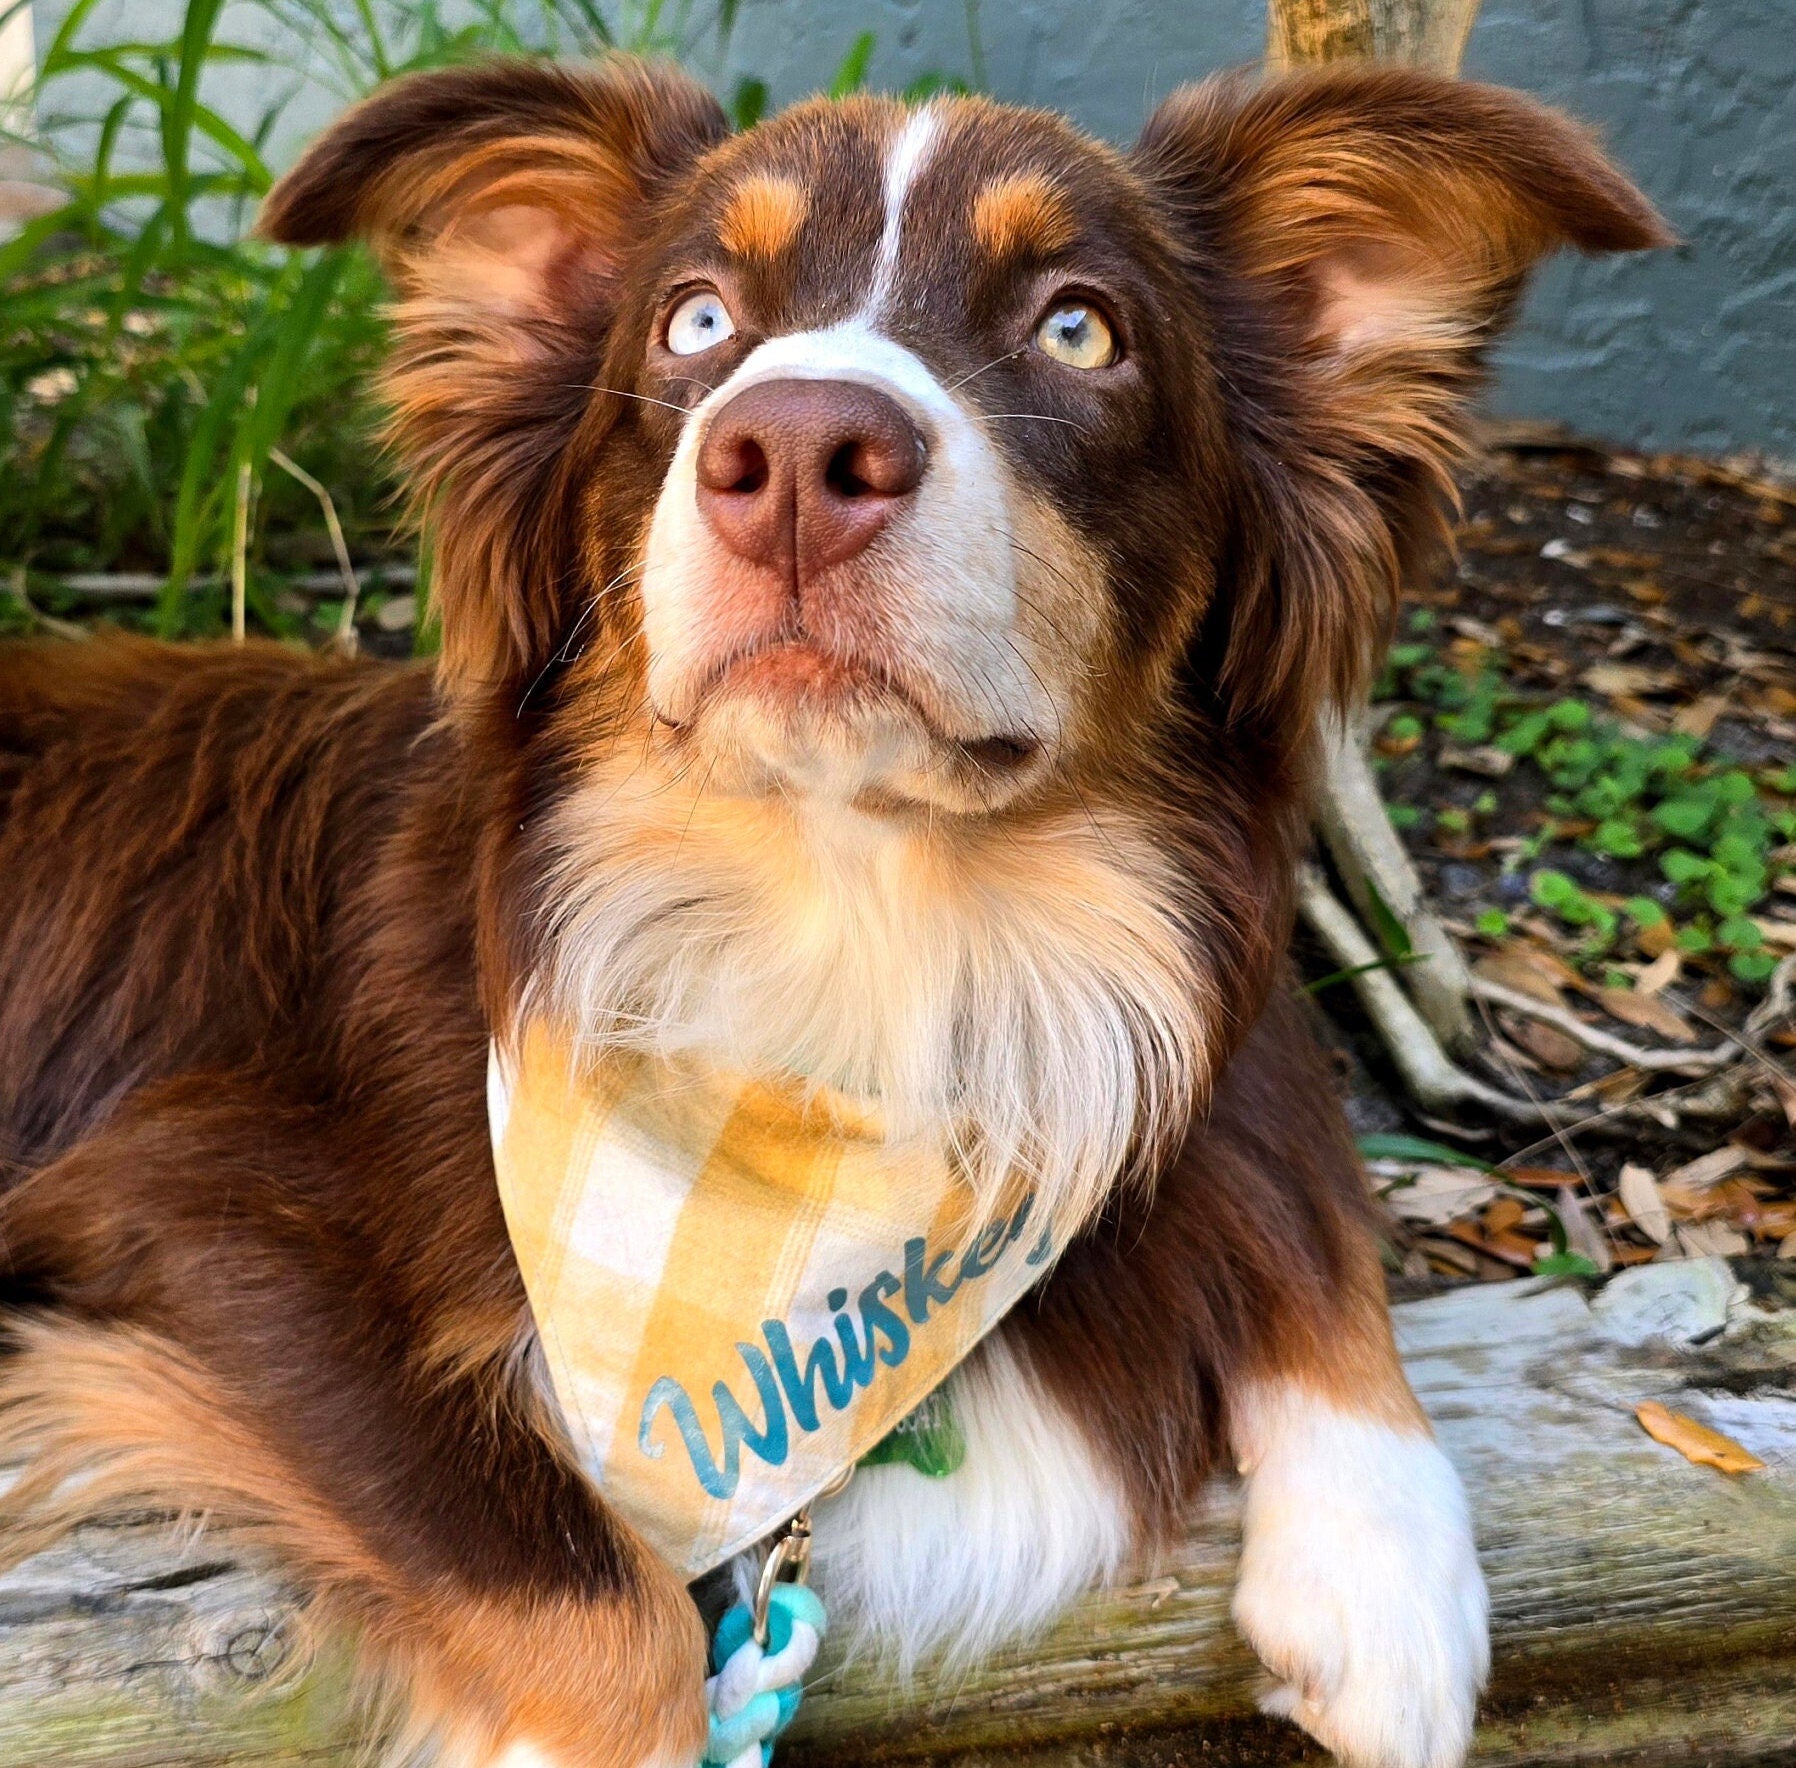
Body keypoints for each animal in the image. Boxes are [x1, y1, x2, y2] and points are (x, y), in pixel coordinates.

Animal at [0, 51, 1659, 1768]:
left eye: (1080, 328)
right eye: (694, 320)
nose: (796, 452)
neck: (865, 938)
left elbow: (1305, 1191)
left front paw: (1390, 1585)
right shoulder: (185, 1195)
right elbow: (603, 1606)